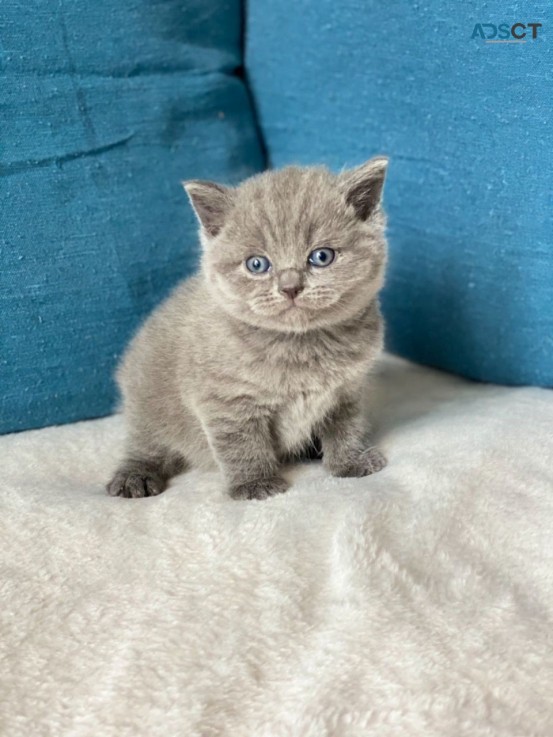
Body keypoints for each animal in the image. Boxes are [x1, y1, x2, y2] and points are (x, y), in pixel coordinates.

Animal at [106, 157, 388, 500]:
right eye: (257, 264)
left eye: (321, 256)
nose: (290, 286)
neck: (301, 346)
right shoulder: (224, 401)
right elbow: (242, 444)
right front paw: (254, 484)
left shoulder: (347, 391)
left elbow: (347, 427)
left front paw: (350, 461)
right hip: (148, 403)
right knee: (146, 444)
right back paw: (134, 476)